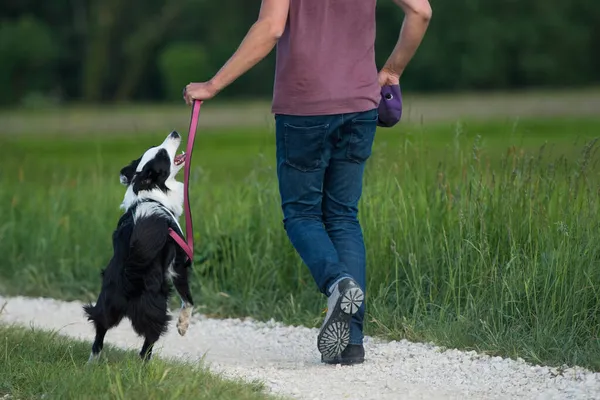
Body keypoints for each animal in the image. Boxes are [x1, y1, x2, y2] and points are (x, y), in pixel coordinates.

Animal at [82, 131, 193, 362]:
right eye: (162, 154)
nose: (175, 132)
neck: (148, 194)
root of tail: (130, 273)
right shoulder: (179, 263)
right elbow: (188, 299)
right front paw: (183, 325)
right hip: (156, 307)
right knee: (147, 344)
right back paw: (145, 367)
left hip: (106, 302)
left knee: (99, 333)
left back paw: (91, 363)